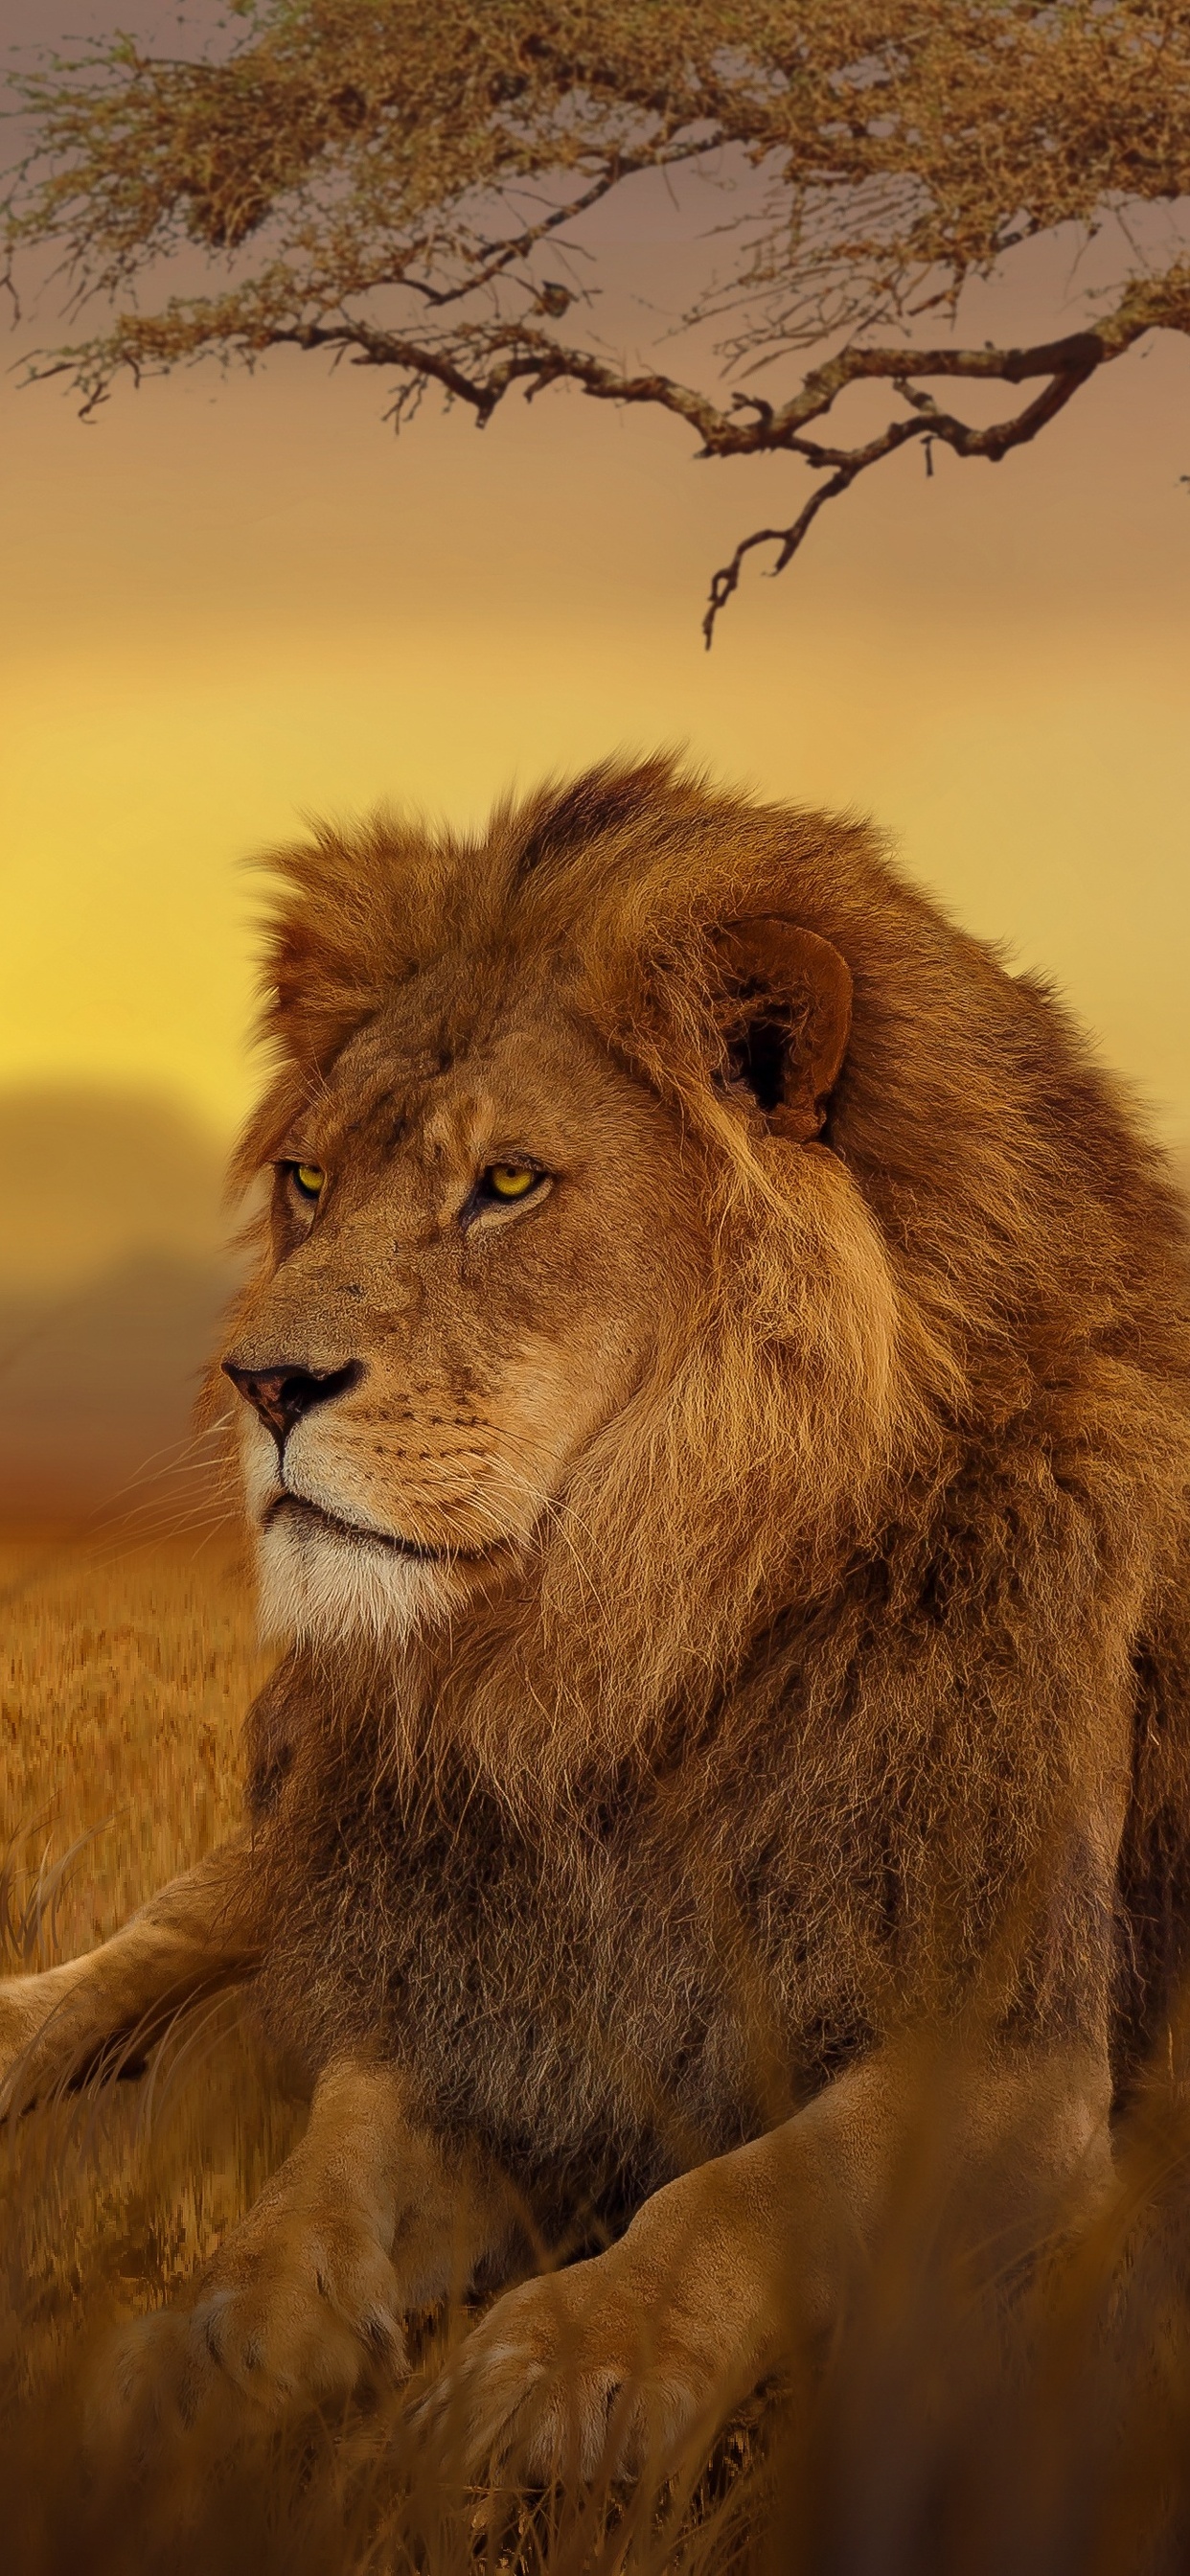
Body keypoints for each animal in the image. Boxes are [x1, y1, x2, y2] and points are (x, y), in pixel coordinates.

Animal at [4, 752, 1190, 2477]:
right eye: (309, 1179)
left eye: (506, 1183)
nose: (261, 1383)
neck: (624, 1651)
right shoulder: (458, 1965)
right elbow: (331, 2166)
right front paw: (219, 2338)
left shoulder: (1015, 2041)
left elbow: (752, 2186)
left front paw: (561, 2367)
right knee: (140, 1954)